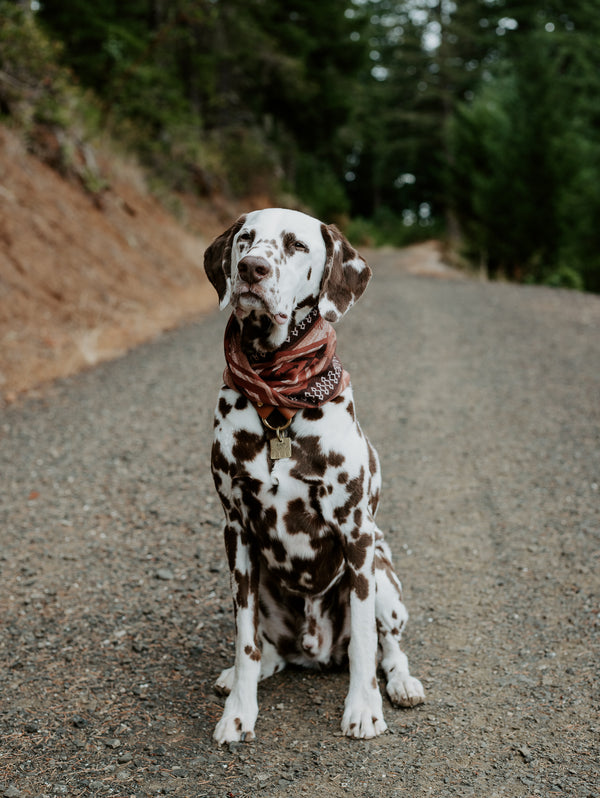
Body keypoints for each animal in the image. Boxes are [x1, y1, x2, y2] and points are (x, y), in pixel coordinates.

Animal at [204, 206, 424, 744]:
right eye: (246, 239)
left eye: (297, 245)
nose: (253, 269)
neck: (277, 400)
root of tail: (315, 648)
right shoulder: (236, 532)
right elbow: (244, 640)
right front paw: (239, 713)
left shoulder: (356, 534)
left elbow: (366, 642)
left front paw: (363, 708)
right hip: (261, 583)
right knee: (265, 649)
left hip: (384, 577)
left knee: (391, 647)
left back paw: (401, 683)